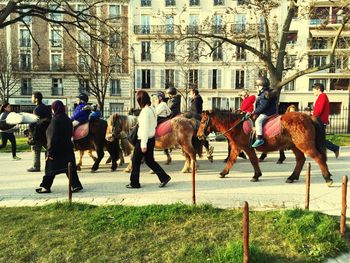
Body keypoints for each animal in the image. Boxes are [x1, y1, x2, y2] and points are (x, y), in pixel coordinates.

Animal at [197, 110, 334, 187]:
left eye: (203, 121)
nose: (198, 136)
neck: (237, 126)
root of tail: (309, 117)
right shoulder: (237, 147)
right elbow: (231, 160)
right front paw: (223, 173)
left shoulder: (247, 147)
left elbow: (253, 160)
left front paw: (256, 175)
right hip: (296, 146)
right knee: (300, 160)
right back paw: (292, 177)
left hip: (305, 145)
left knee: (319, 158)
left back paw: (327, 178)